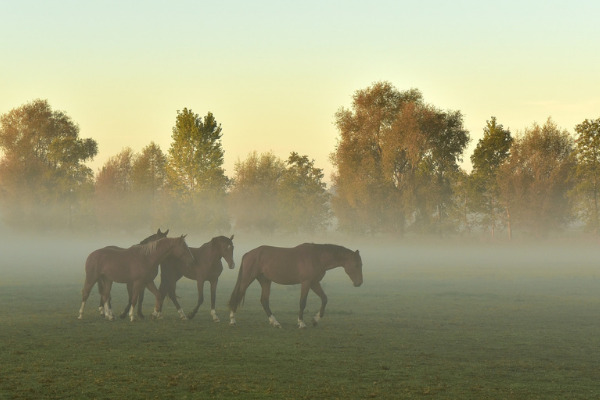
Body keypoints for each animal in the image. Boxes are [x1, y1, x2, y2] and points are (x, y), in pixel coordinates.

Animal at [229, 244, 360, 328]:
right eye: (357, 264)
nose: (359, 283)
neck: (317, 256)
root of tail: (248, 254)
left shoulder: (314, 283)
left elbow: (324, 299)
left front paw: (315, 320)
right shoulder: (306, 283)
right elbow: (302, 302)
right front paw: (301, 323)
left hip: (265, 281)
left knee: (264, 300)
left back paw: (275, 322)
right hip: (247, 279)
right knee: (238, 295)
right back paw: (232, 320)